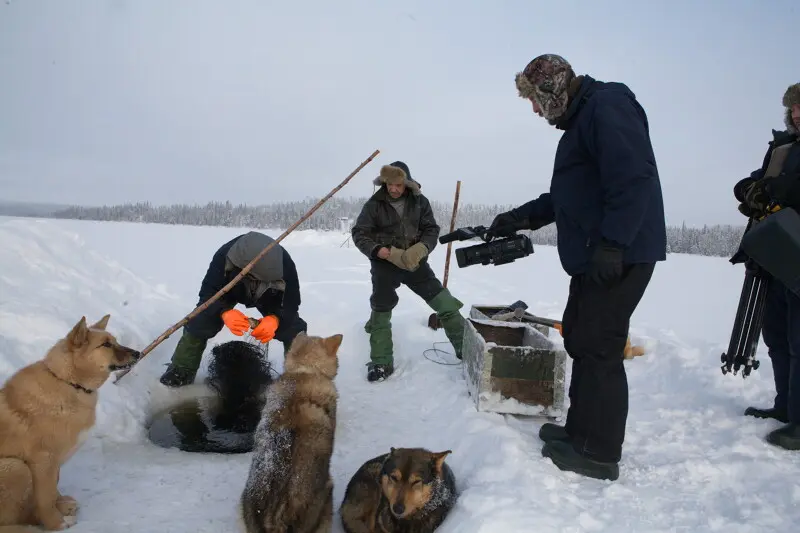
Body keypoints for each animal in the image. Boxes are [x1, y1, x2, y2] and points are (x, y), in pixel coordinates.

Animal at [0, 314, 141, 528]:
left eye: (115, 341)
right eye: (106, 345)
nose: (138, 353)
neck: (70, 383)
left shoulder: (53, 464)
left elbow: (53, 490)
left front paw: (61, 505)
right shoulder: (43, 460)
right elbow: (45, 498)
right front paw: (55, 523)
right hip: (16, 467)